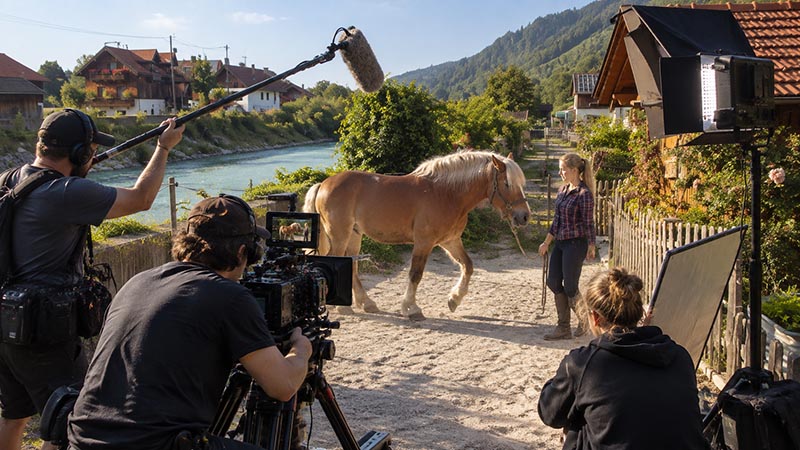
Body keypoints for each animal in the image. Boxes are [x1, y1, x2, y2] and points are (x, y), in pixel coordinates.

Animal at [303, 150, 531, 320]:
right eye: (507, 183)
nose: (524, 216)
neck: (446, 193)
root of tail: (323, 184)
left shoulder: (450, 241)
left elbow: (468, 266)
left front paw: (454, 299)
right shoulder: (424, 242)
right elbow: (415, 274)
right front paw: (411, 308)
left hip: (354, 235)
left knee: (352, 264)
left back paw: (366, 303)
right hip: (340, 235)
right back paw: (343, 307)